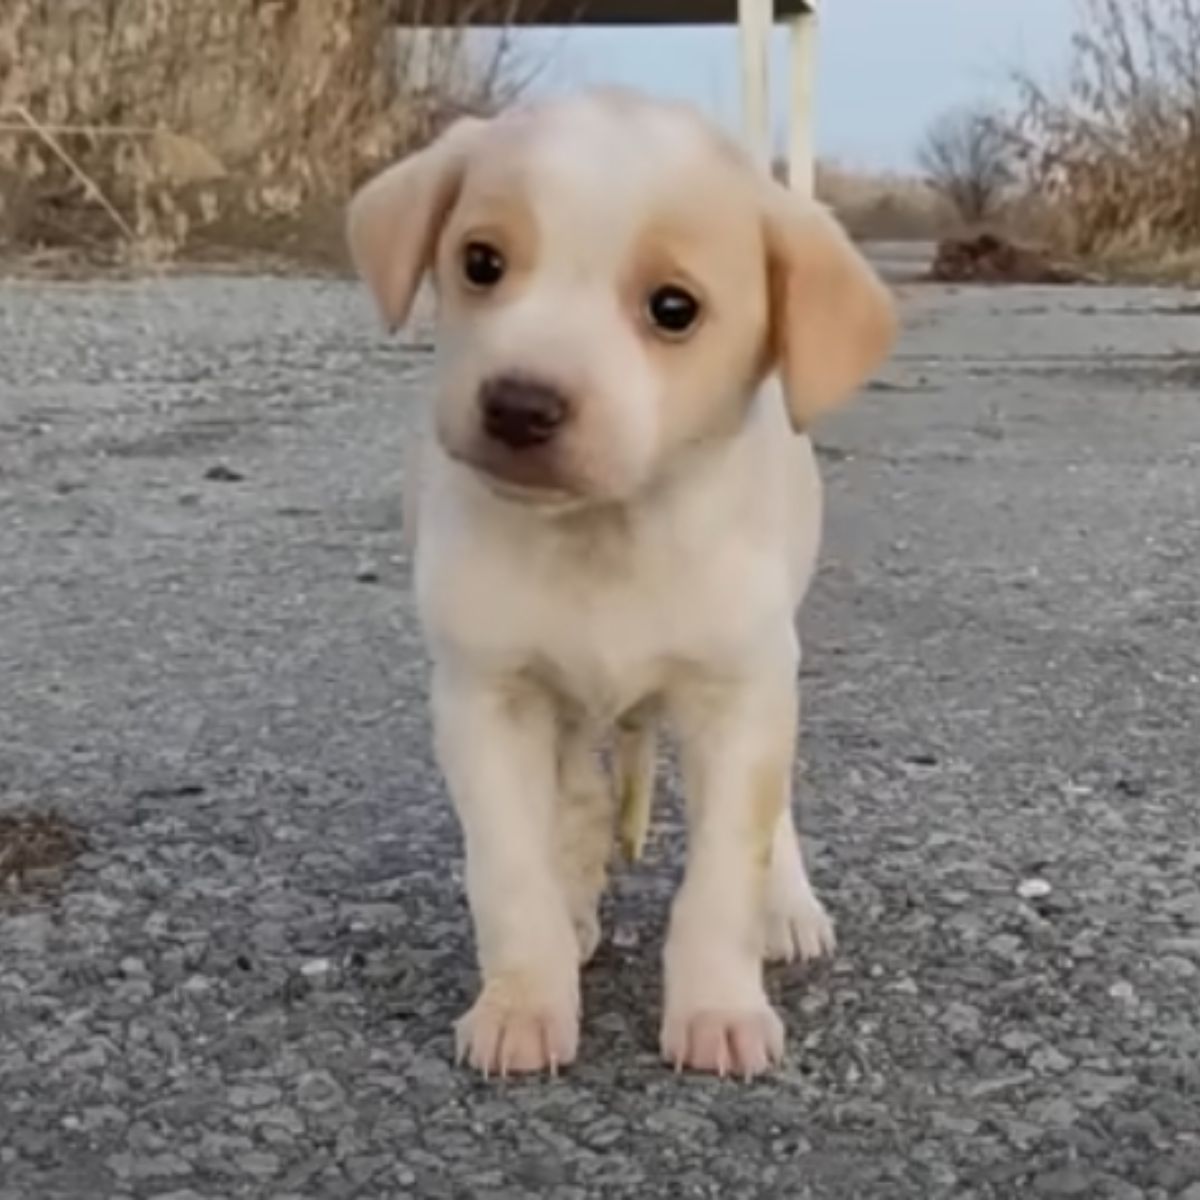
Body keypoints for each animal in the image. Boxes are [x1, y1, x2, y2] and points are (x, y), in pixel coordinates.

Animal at [343, 87, 897, 1080]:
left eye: (673, 309)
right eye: (480, 262)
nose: (519, 404)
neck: (609, 534)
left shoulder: (740, 697)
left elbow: (723, 873)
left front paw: (720, 1007)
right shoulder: (487, 698)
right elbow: (510, 869)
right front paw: (524, 1000)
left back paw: (787, 908)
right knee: (578, 799)